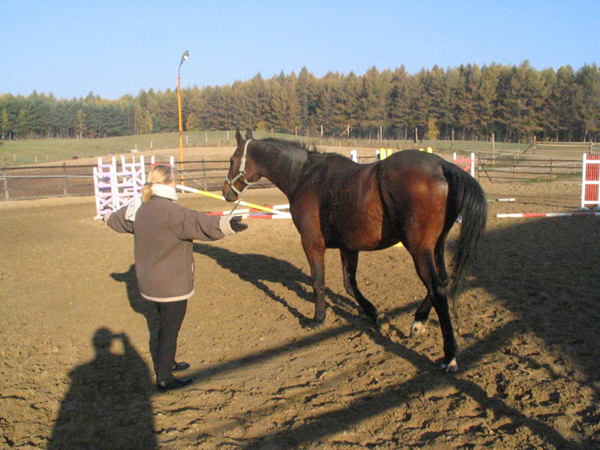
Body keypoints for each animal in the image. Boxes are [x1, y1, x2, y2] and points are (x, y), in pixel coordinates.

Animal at [223, 128, 486, 370]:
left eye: (232, 160)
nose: (226, 193)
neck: (305, 176)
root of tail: (442, 165)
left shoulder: (312, 243)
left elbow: (318, 282)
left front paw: (317, 319)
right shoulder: (348, 247)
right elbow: (350, 286)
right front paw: (378, 317)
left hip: (419, 249)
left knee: (437, 289)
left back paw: (449, 355)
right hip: (437, 246)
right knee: (443, 280)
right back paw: (418, 322)